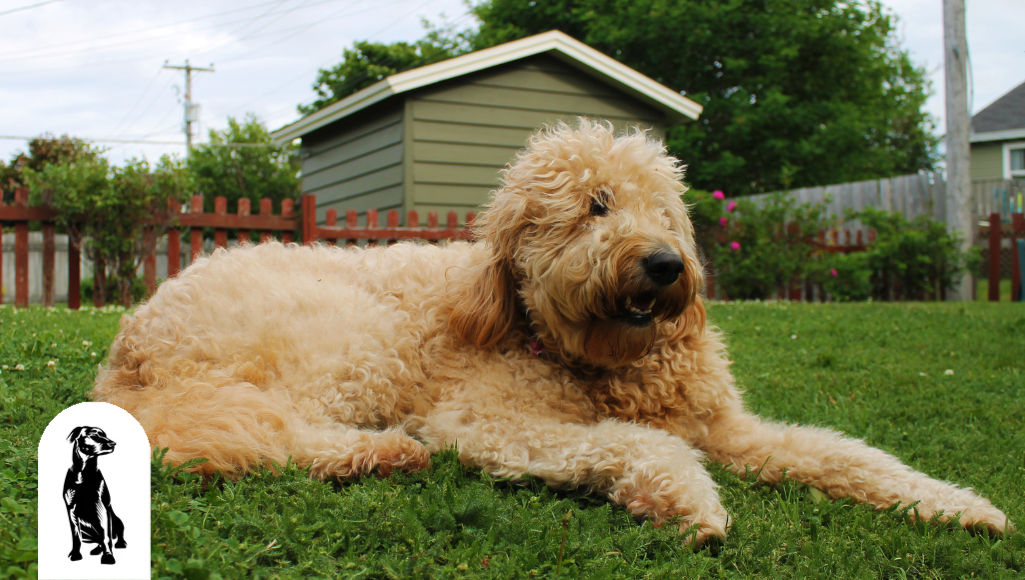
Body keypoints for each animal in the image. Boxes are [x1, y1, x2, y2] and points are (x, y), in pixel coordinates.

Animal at [94, 120, 1008, 549]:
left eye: (661, 209)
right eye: (593, 206)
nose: (664, 264)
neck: (597, 361)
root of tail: (133, 341)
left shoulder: (727, 426)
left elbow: (845, 454)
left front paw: (955, 503)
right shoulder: (482, 420)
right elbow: (632, 444)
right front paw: (687, 500)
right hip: (341, 340)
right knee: (265, 432)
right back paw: (374, 453)